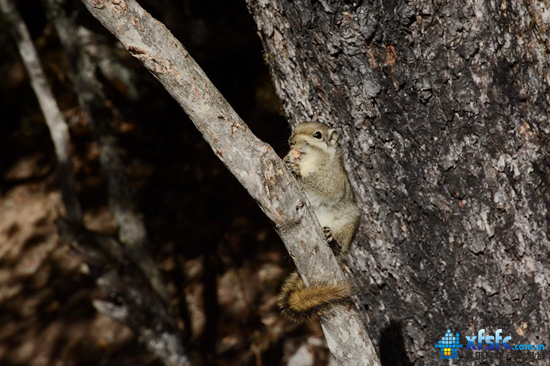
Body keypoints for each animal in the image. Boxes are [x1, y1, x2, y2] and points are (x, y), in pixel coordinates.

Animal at [280, 122, 362, 324]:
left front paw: (296, 170)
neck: (310, 161)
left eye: (318, 135)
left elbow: (323, 187)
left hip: (348, 222)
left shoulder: (333, 179)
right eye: (296, 128)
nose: (291, 141)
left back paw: (333, 242)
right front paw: (287, 159)